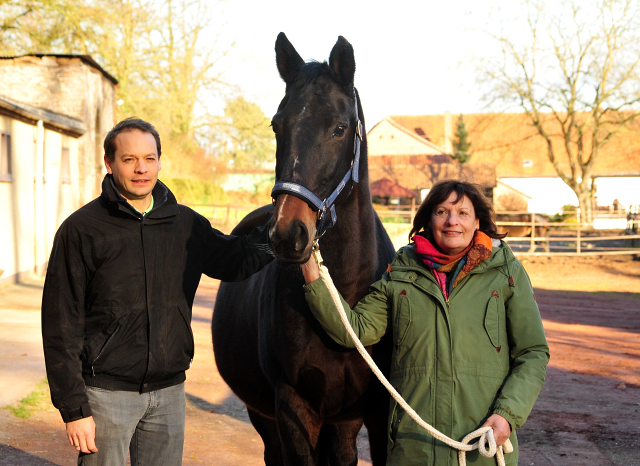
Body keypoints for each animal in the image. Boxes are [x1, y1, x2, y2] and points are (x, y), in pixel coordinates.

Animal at [212, 33, 396, 466]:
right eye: (276, 125)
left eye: (340, 128)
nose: (286, 233)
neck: (344, 296)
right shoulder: (292, 407)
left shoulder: (375, 413)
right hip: (263, 414)